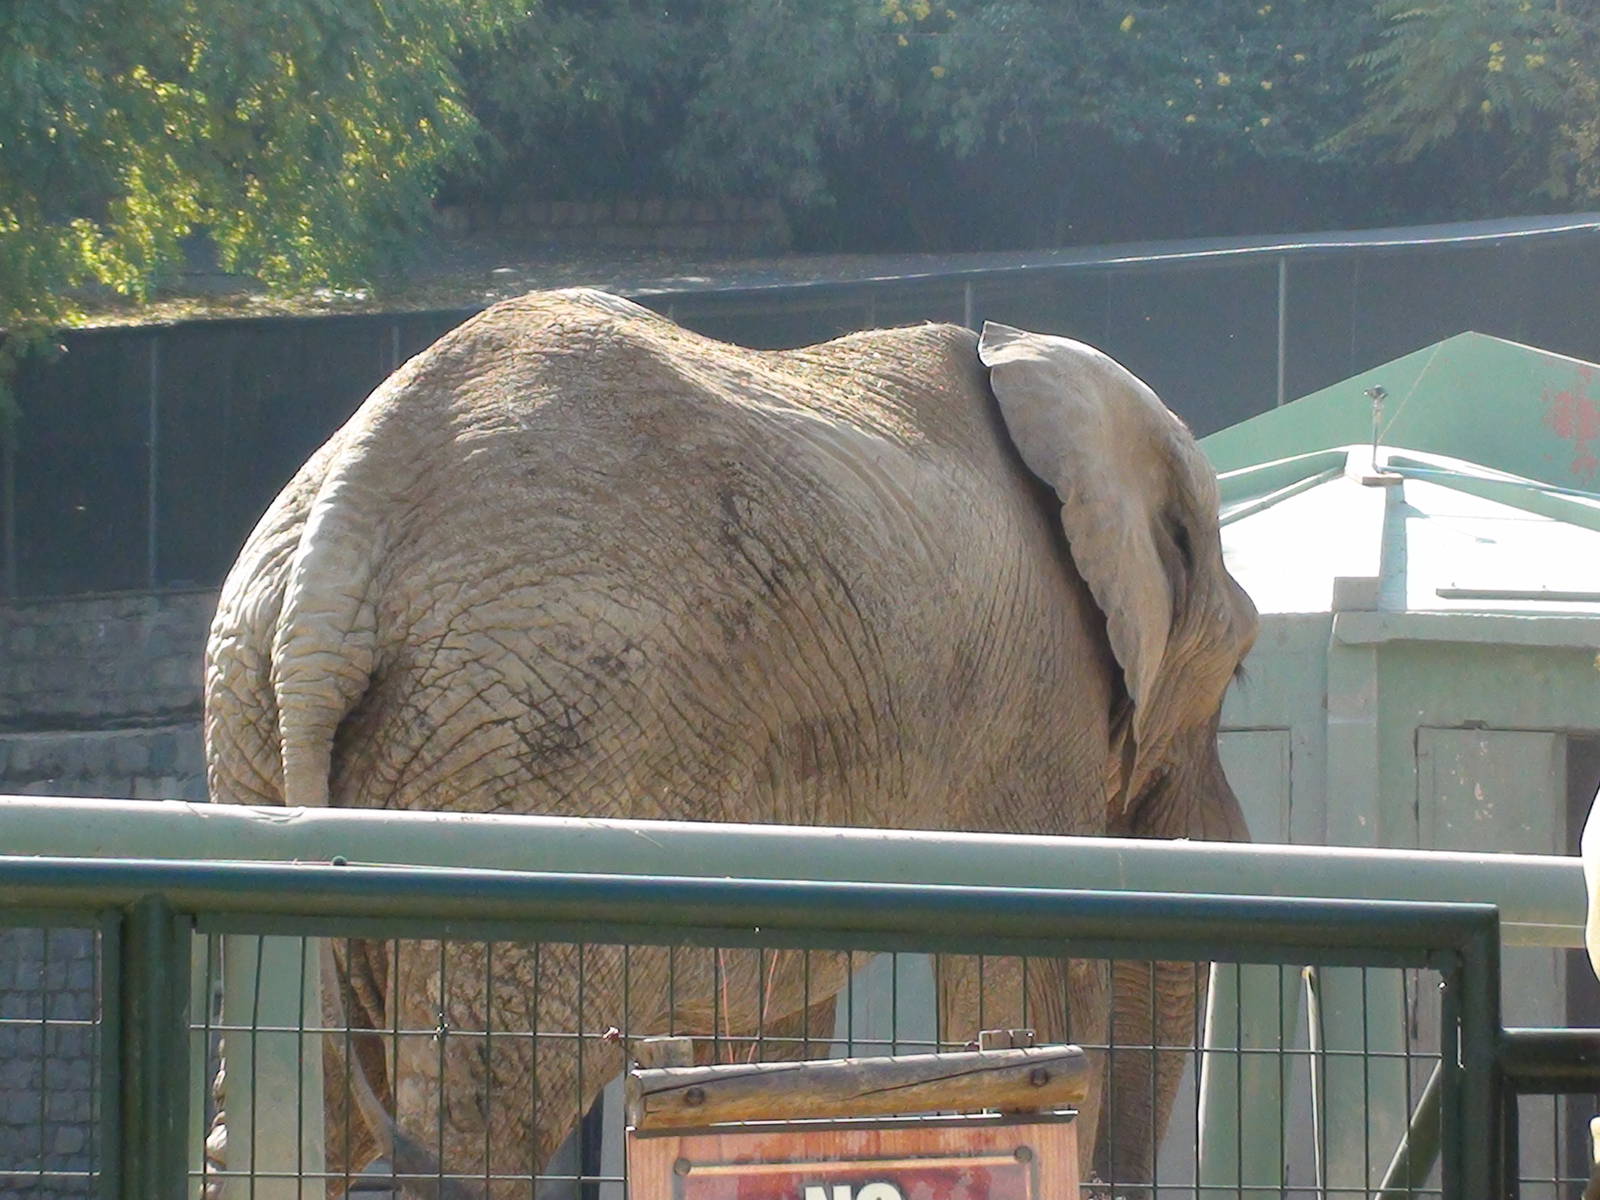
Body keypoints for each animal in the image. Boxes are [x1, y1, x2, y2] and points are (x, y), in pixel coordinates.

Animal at [204, 287, 1257, 1196]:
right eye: (1243, 668)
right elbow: (1033, 997)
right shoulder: (1035, 704)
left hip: (265, 726)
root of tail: (340, 544)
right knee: (481, 1122)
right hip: (523, 742)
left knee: (298, 1109)